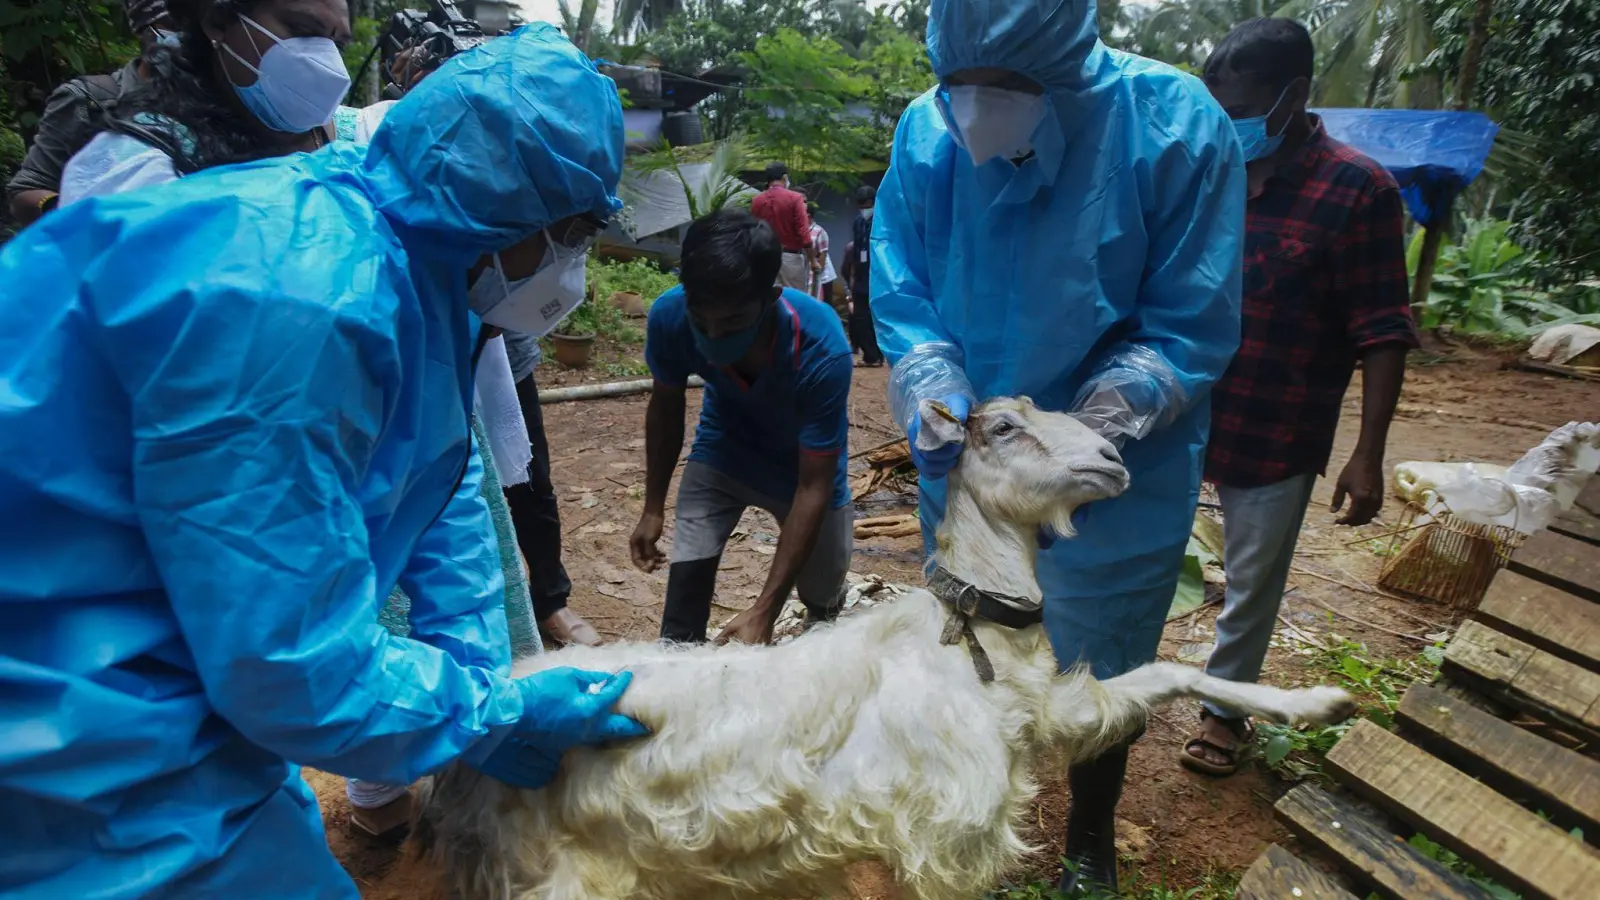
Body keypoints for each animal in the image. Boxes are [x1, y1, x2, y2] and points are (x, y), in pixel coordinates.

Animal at [412, 395, 1350, 896]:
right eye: (1003, 427)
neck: (969, 640)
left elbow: (1159, 673)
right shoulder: (950, 832)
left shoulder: (1047, 716)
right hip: (561, 873)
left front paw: (1315, 702)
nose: (1113, 460)